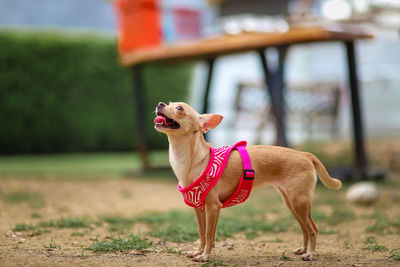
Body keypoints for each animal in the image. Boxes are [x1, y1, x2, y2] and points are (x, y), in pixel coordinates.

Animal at [153, 101, 340, 262]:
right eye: (168, 103)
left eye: (179, 108)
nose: (160, 104)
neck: (192, 160)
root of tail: (305, 154)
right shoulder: (199, 210)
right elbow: (202, 234)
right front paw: (198, 252)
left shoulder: (213, 208)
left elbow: (209, 235)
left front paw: (205, 256)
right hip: (292, 204)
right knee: (305, 228)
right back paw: (303, 249)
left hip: (299, 202)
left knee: (313, 229)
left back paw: (311, 254)